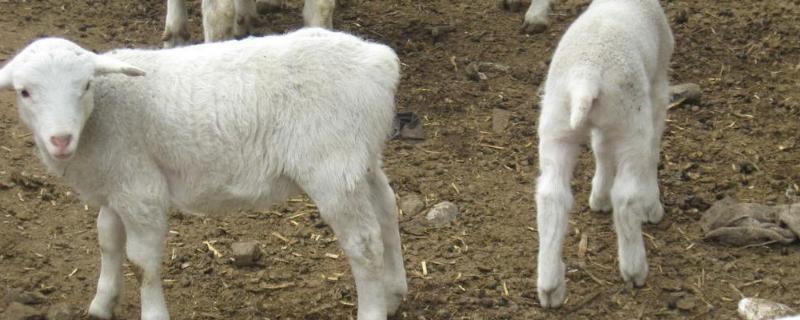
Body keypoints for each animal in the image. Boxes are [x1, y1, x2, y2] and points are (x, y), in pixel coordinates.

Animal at [0, 28, 410, 320]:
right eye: (24, 92)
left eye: (85, 85)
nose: (60, 139)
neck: (100, 117)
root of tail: (379, 60)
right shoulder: (116, 185)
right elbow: (108, 241)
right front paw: (102, 304)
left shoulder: (141, 189)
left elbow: (141, 261)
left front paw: (152, 313)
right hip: (361, 157)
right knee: (387, 208)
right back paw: (394, 293)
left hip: (332, 166)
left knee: (364, 243)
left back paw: (372, 310)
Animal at [536, 0, 672, 308]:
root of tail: (585, 78)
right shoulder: (658, 86)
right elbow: (653, 150)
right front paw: (652, 205)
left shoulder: (603, 126)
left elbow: (601, 149)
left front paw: (598, 197)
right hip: (631, 121)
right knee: (626, 196)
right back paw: (634, 269)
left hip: (556, 122)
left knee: (551, 196)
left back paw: (550, 286)